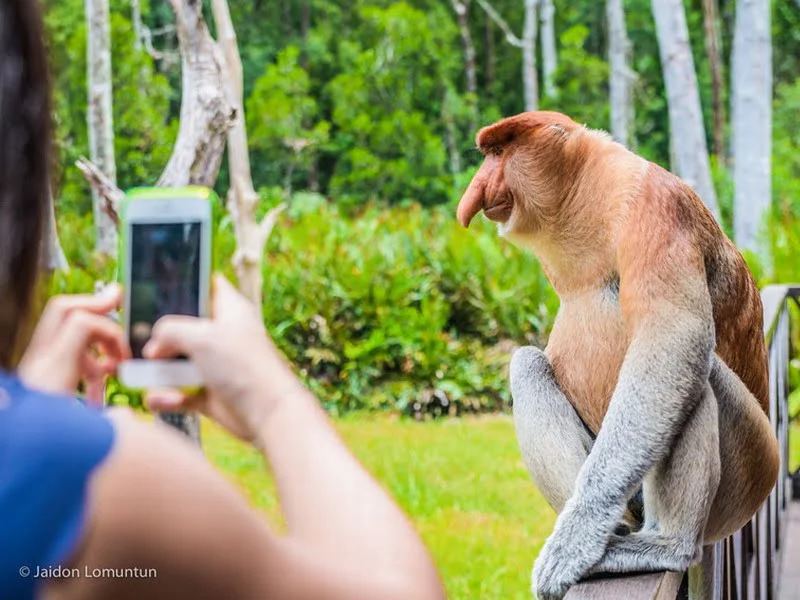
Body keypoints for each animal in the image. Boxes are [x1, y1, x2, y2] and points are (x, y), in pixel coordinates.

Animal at [456, 111, 780, 600]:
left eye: (498, 152)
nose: (475, 189)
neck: (583, 193)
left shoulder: (656, 206)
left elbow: (673, 337)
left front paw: (572, 544)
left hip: (751, 471)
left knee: (693, 373)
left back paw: (666, 545)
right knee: (526, 365)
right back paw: (620, 530)